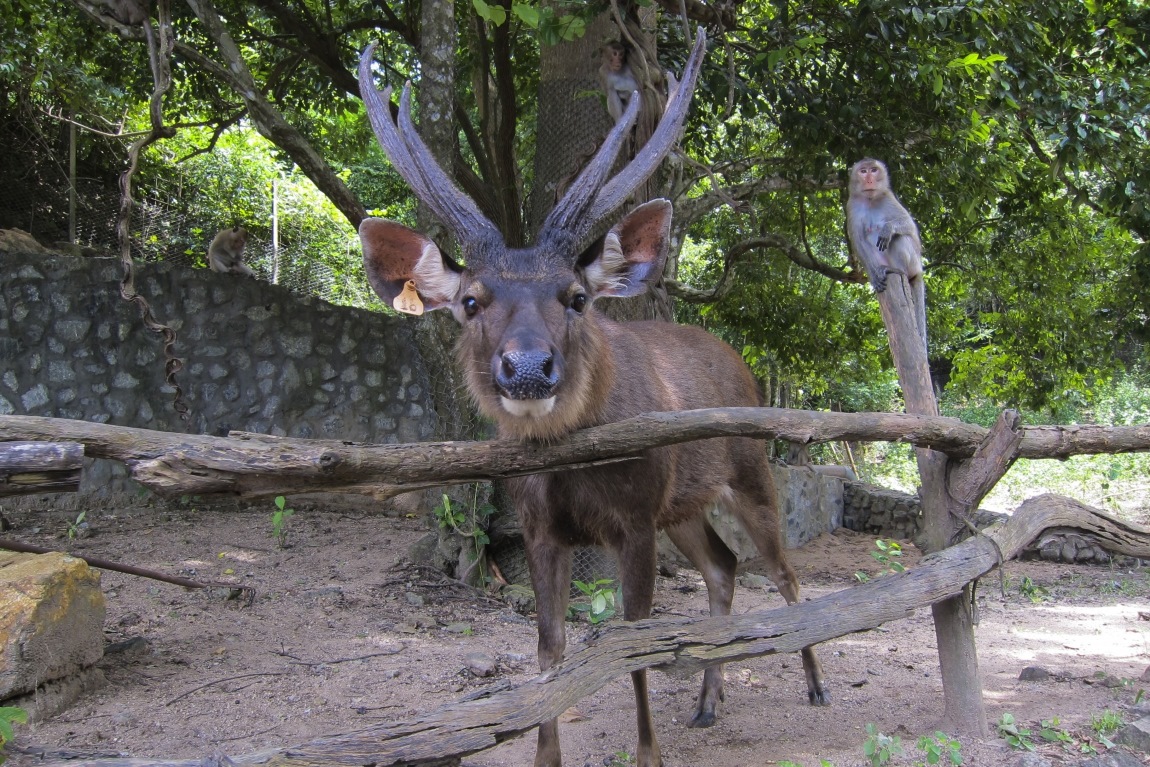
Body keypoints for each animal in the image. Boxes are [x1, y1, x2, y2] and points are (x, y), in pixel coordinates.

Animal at [356, 31, 828, 767]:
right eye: (471, 301)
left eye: (576, 296)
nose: (526, 368)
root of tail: (743, 365)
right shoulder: (543, 529)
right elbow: (549, 649)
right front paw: (546, 755)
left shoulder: (634, 519)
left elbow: (634, 639)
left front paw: (648, 753)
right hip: (683, 505)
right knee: (723, 569)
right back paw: (707, 703)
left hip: (751, 470)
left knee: (783, 573)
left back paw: (814, 686)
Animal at [851, 157, 929, 342]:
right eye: (863, 171)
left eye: (873, 170)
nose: (869, 180)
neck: (870, 199)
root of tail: (919, 269)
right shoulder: (853, 205)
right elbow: (859, 241)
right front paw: (873, 277)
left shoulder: (888, 197)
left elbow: (910, 227)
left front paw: (888, 228)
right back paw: (882, 270)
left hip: (914, 262)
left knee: (899, 238)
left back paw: (898, 269)